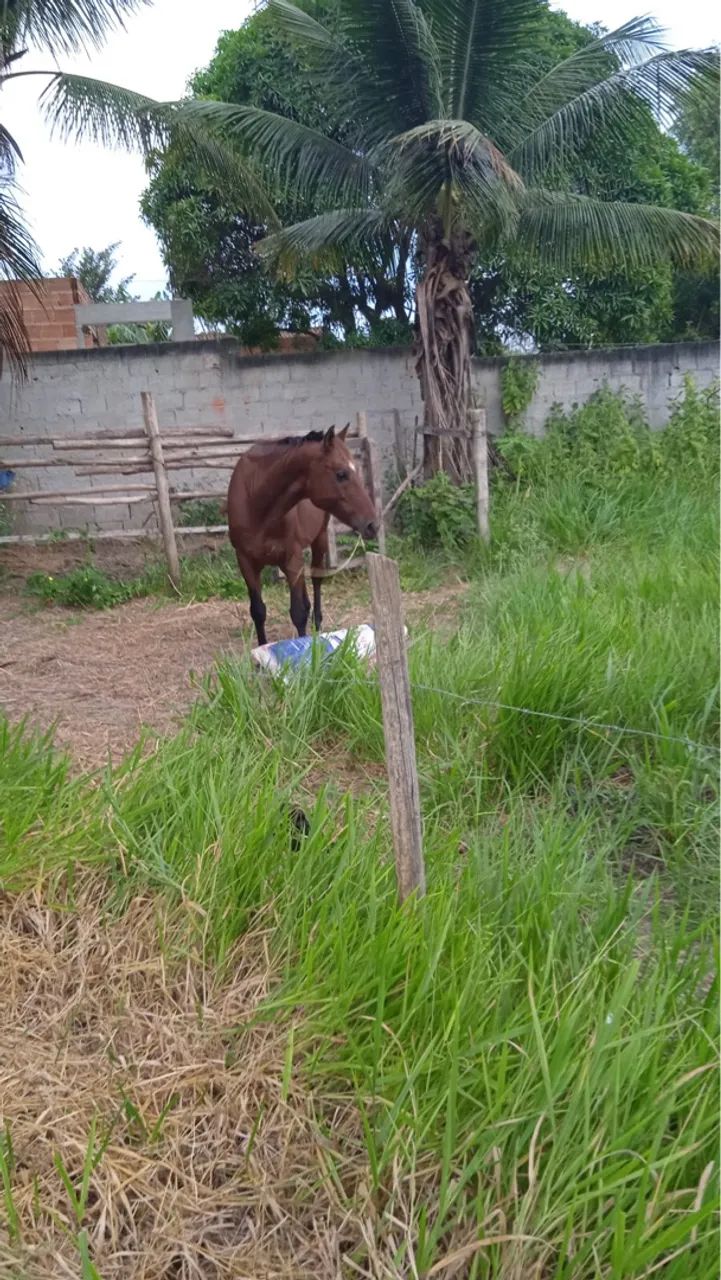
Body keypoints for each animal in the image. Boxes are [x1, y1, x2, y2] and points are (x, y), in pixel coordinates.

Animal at [227, 424, 378, 646]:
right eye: (341, 474)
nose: (373, 524)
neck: (256, 503)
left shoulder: (292, 558)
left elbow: (298, 613)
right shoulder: (245, 561)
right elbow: (258, 611)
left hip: (319, 540)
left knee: (316, 581)